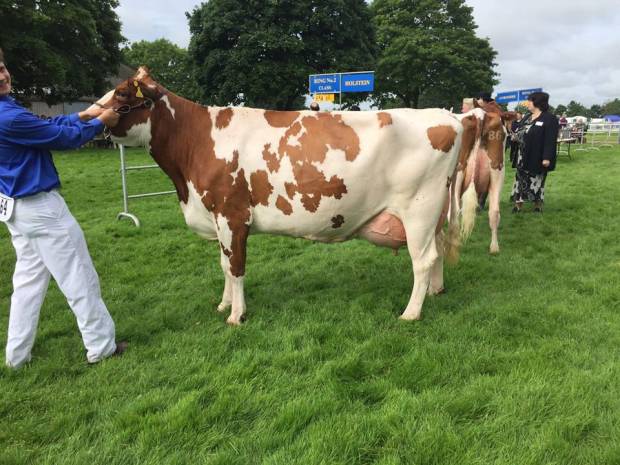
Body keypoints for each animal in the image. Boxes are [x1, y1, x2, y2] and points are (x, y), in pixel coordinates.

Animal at [100, 69, 480, 322]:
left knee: (423, 259)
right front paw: (224, 304)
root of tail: (447, 116)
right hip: (434, 213)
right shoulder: (218, 220)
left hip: (419, 209)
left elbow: (235, 266)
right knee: (438, 249)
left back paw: (410, 313)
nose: (91, 116)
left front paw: (236, 315)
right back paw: (436, 291)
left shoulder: (231, 215)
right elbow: (224, 265)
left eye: (122, 95)